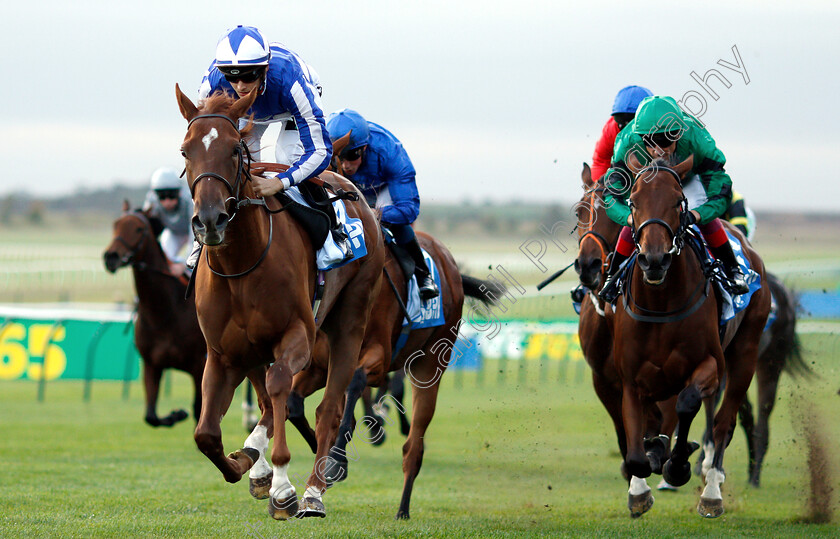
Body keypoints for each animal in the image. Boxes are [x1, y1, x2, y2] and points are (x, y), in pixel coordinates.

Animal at [102, 200, 207, 428]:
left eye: (139, 229)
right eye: (115, 224)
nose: (111, 257)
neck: (164, 313)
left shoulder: (199, 366)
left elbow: (199, 410)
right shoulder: (151, 365)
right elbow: (151, 416)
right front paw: (176, 414)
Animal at [179, 86, 388, 520]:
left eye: (234, 151)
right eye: (186, 151)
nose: (210, 220)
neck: (241, 264)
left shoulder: (298, 336)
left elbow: (279, 388)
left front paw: (282, 486)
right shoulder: (223, 353)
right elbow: (206, 433)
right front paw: (246, 464)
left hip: (350, 321)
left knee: (327, 409)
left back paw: (313, 492)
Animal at [612, 157, 772, 520]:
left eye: (677, 202)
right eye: (634, 202)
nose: (654, 259)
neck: (660, 304)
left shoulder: (710, 364)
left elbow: (687, 404)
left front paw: (678, 465)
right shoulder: (631, 377)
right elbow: (636, 452)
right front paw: (639, 490)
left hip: (745, 354)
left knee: (723, 423)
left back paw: (711, 491)